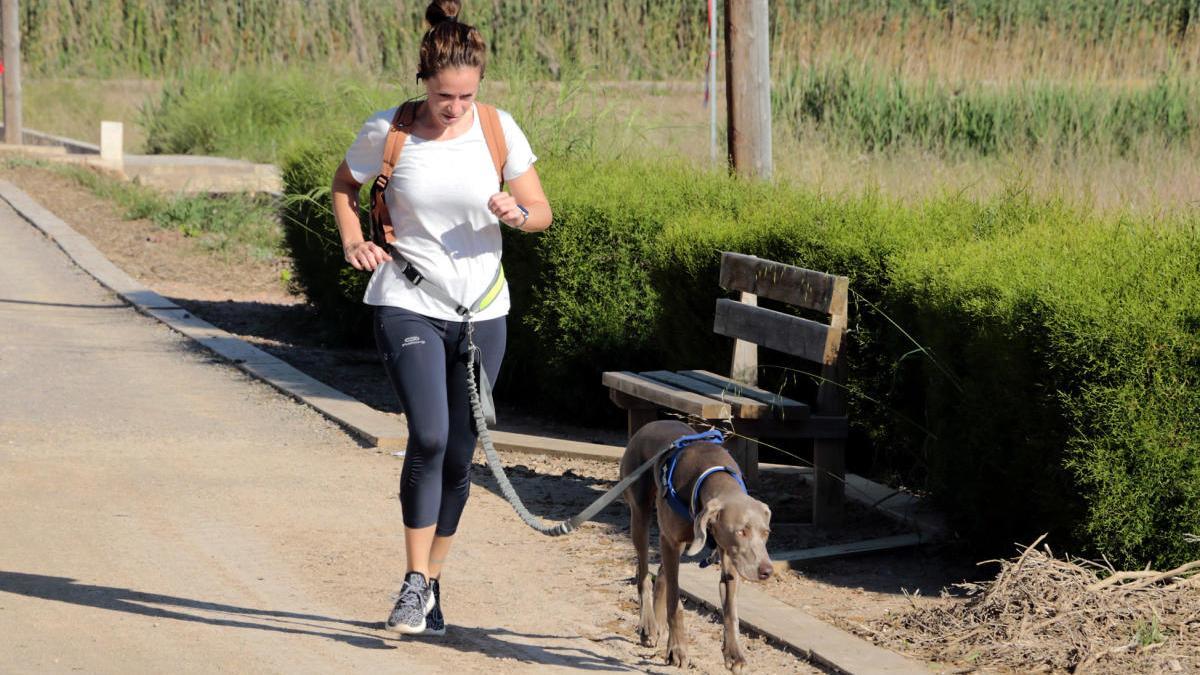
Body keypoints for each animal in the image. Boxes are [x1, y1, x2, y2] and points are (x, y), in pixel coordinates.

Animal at [619, 417, 777, 667]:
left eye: (766, 532)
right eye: (741, 531)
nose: (766, 571)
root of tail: (650, 424)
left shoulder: (728, 552)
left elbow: (731, 610)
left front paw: (734, 653)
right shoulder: (671, 540)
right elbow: (675, 603)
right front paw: (677, 650)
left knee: (662, 573)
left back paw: (659, 625)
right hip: (641, 513)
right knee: (643, 572)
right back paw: (648, 626)